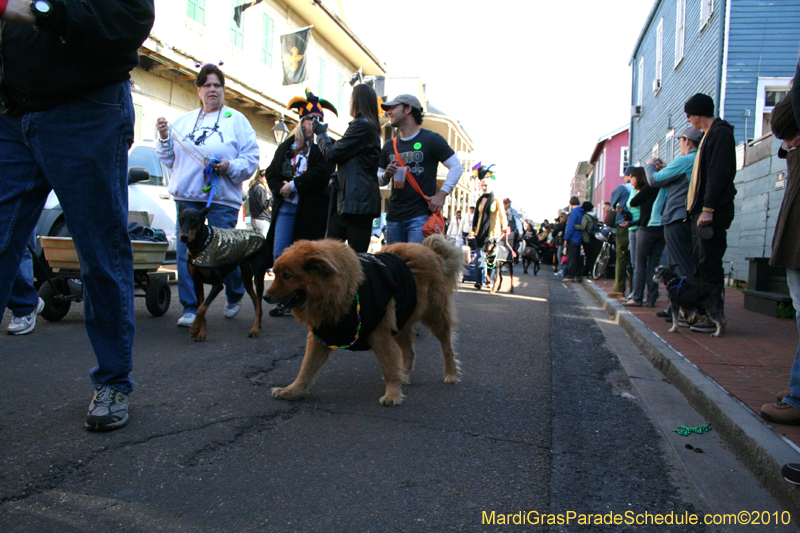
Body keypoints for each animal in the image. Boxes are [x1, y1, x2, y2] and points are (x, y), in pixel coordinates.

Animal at [177, 206, 272, 338]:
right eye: (181, 218)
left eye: (194, 220)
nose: (184, 237)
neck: (201, 243)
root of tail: (261, 235)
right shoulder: (197, 282)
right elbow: (201, 306)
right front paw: (201, 333)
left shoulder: (217, 285)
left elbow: (201, 308)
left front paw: (195, 328)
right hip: (246, 277)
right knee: (256, 301)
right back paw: (258, 324)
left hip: (258, 277)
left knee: (258, 300)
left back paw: (254, 329)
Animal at [264, 235, 462, 406]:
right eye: (276, 274)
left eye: (287, 276)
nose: (265, 297)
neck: (345, 290)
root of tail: (430, 251)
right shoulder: (321, 337)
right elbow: (306, 368)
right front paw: (293, 391)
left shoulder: (380, 335)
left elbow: (389, 366)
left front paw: (392, 394)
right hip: (401, 322)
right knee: (409, 351)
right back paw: (404, 376)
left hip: (435, 316)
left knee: (446, 346)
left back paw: (451, 373)